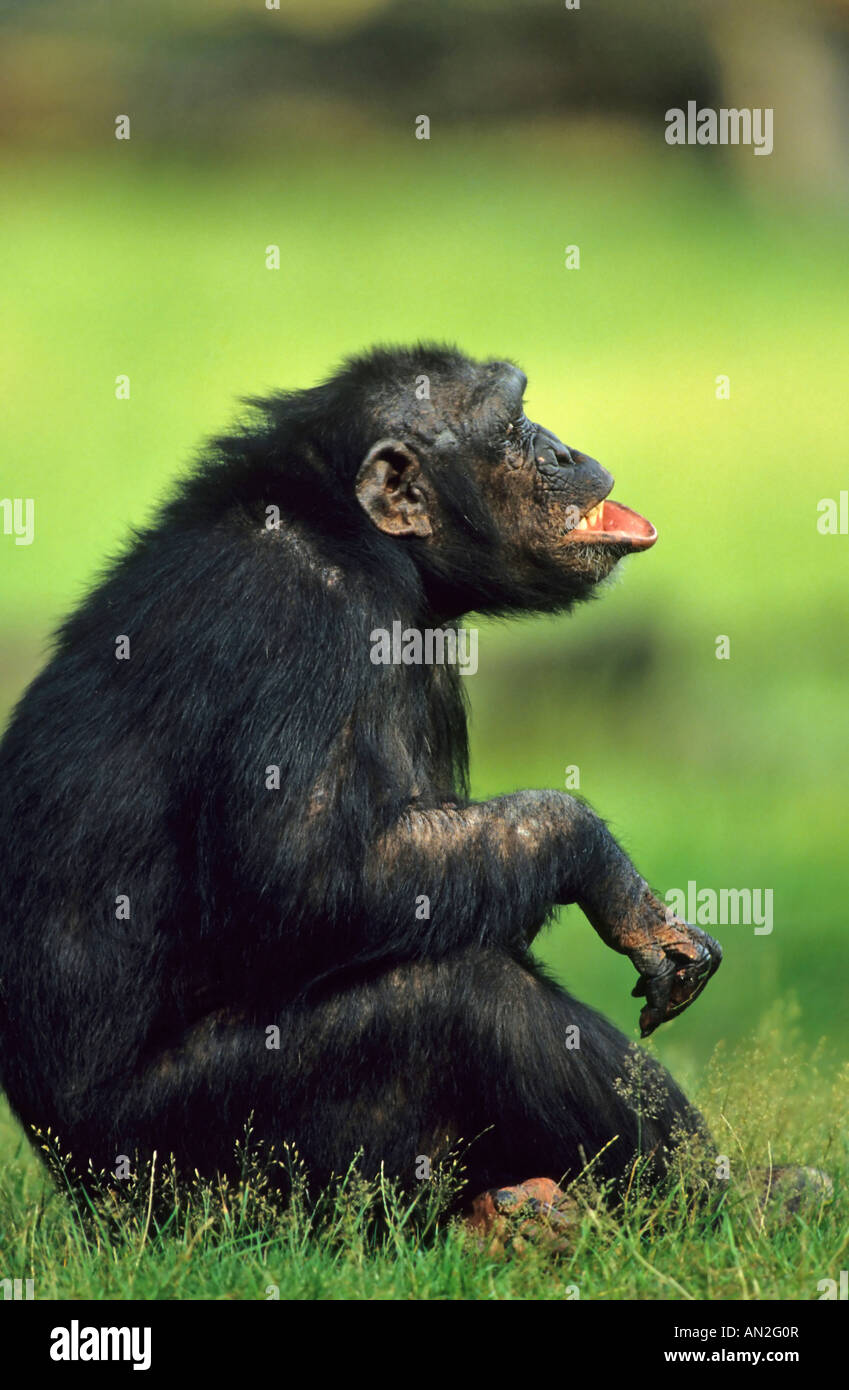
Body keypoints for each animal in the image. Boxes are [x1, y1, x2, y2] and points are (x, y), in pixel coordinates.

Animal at [0, 341, 722, 1200]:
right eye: (512, 424)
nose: (561, 450)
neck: (358, 536)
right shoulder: (303, 622)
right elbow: (302, 877)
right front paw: (603, 869)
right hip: (189, 1167)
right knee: (463, 998)